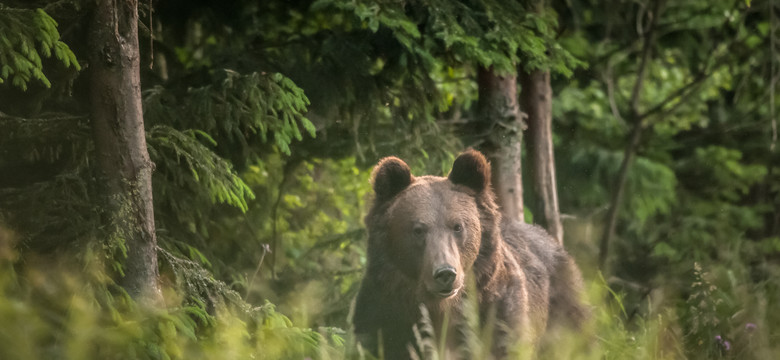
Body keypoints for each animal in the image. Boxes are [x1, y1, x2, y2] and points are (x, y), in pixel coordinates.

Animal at [352, 150, 584, 360]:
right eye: (418, 229)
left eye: (457, 226)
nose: (446, 273)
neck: (443, 308)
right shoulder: (386, 313)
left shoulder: (498, 310)